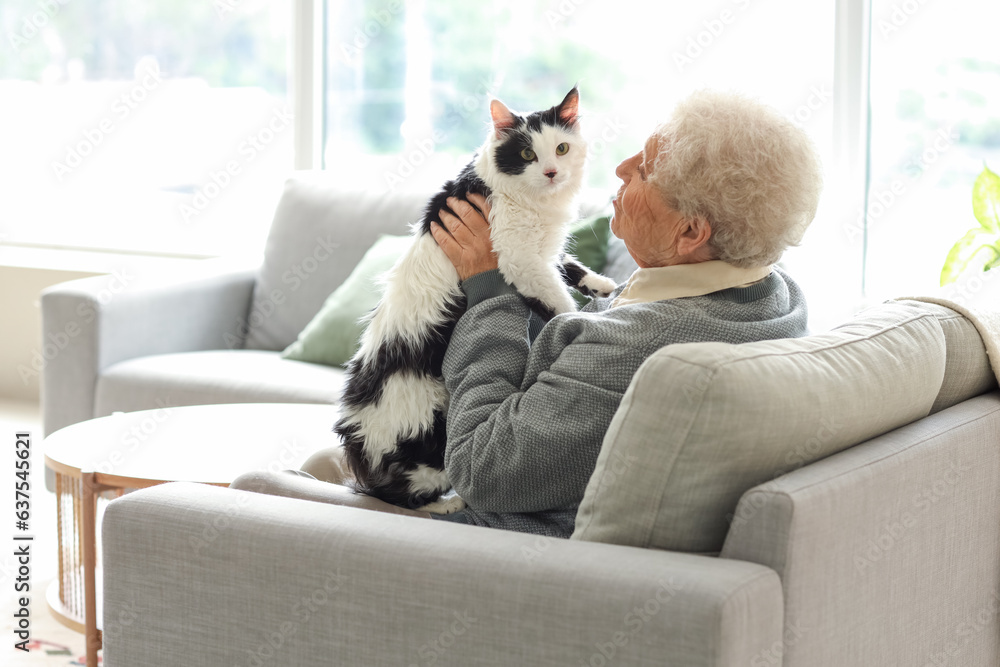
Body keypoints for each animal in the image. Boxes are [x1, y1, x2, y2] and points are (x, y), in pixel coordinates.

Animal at [336, 88, 616, 516]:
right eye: (527, 154)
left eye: (561, 148)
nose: (552, 172)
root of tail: (355, 433)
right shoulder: (520, 259)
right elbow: (558, 300)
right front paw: (580, 318)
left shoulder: (541, 255)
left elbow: (568, 266)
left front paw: (603, 286)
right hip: (431, 434)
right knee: (400, 494)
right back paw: (448, 505)